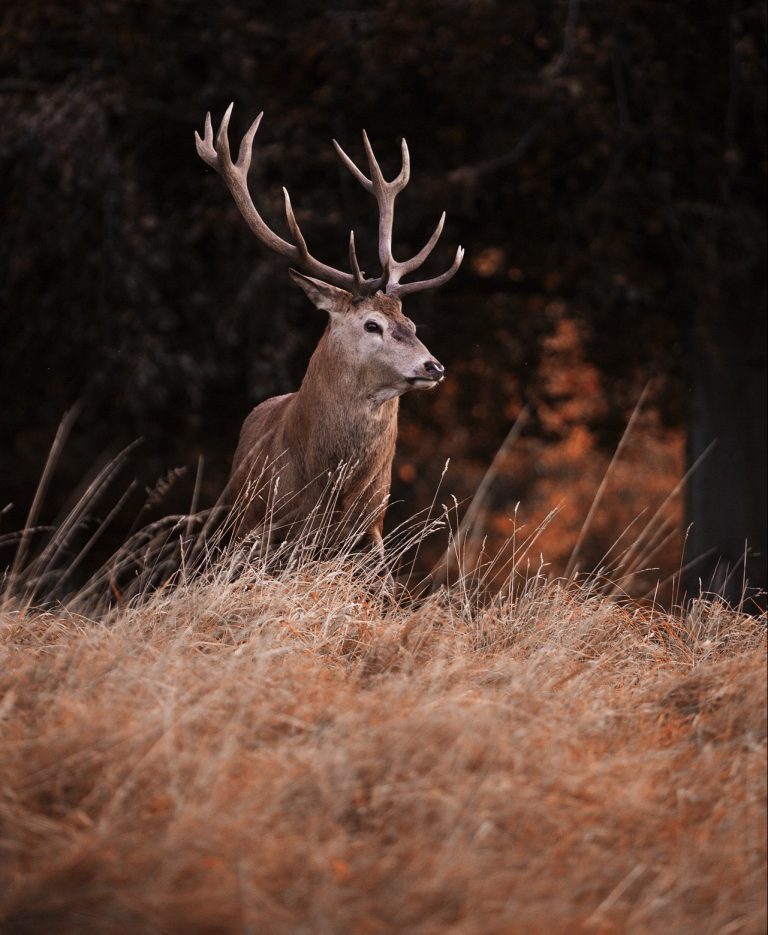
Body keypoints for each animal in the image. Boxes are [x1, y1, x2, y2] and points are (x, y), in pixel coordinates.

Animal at [195, 104, 463, 567]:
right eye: (372, 324)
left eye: (411, 324)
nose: (434, 366)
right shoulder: (268, 527)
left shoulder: (371, 529)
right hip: (236, 518)